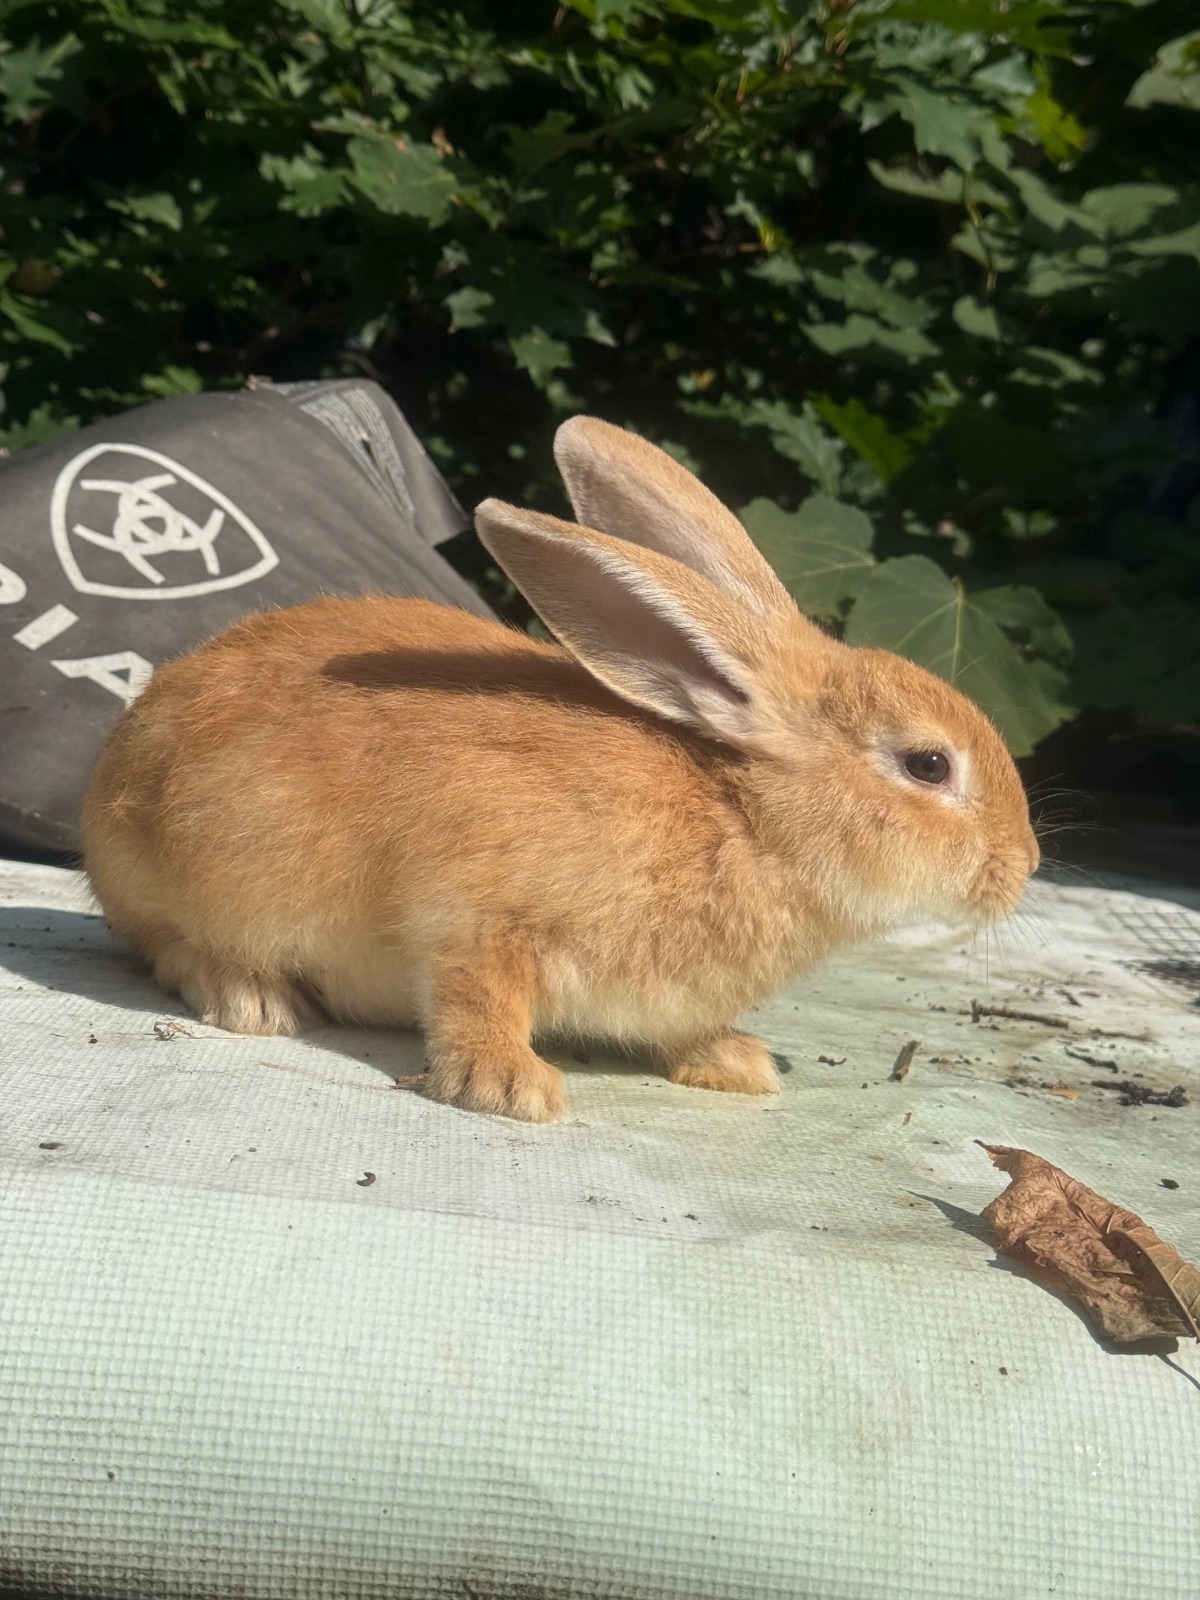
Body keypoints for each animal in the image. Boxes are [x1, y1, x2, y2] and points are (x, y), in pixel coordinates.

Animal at [81, 417, 1039, 1122]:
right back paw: (255, 1001)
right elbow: (476, 995)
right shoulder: (477, 915)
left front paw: (734, 1063)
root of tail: (113, 768)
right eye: (928, 764)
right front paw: (511, 1088)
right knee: (168, 949)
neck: (742, 820)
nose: (1022, 868)